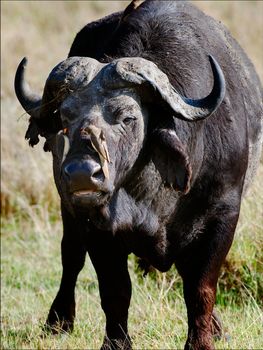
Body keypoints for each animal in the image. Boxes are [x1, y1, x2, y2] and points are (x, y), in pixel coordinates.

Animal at [14, 0, 263, 350]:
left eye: (128, 117)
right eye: (65, 117)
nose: (80, 174)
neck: (152, 196)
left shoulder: (223, 217)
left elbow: (200, 287)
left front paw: (201, 341)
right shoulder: (96, 225)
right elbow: (115, 290)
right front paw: (116, 343)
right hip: (69, 211)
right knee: (70, 257)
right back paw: (57, 321)